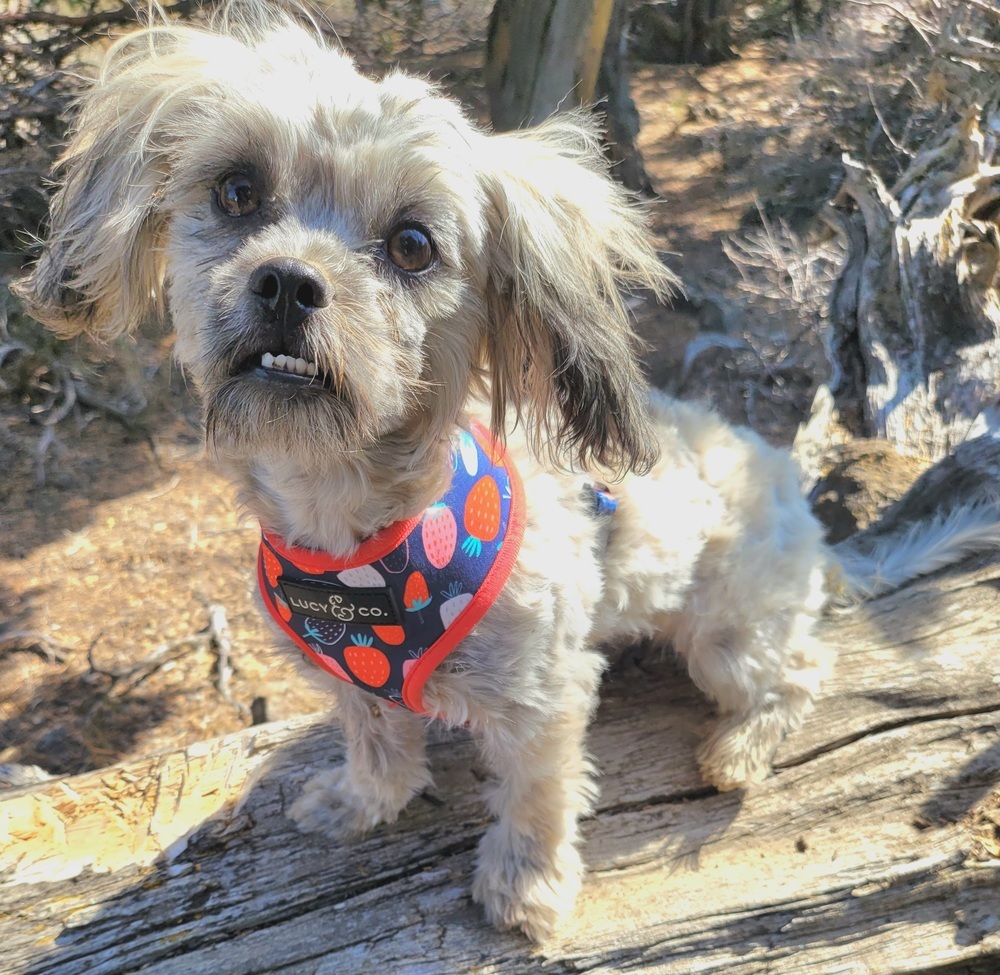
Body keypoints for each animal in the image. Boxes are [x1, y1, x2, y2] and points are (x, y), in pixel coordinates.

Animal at [15, 5, 1000, 936]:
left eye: (413, 244)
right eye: (237, 189)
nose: (289, 282)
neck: (364, 543)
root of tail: (807, 518)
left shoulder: (542, 697)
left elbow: (536, 797)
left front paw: (525, 889)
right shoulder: (349, 677)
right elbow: (376, 738)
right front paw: (359, 801)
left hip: (728, 632)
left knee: (796, 673)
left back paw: (739, 749)